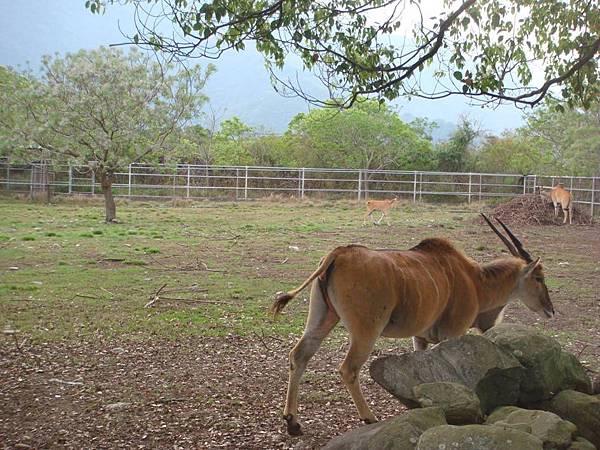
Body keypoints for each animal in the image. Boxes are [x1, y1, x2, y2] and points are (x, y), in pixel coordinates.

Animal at [272, 214, 552, 436]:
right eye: (539, 278)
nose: (550, 309)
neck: (475, 280)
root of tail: (339, 252)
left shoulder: (420, 338)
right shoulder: (452, 334)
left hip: (323, 317)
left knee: (299, 355)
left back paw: (292, 422)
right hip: (366, 330)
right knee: (348, 368)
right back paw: (368, 417)